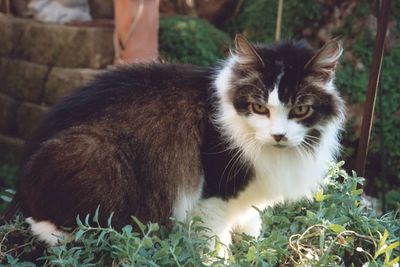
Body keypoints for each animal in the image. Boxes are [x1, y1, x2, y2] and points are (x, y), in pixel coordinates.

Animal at [13, 34, 344, 254]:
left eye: (300, 110)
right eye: (259, 107)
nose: (279, 135)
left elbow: (249, 218)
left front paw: (252, 240)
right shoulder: (214, 194)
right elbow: (214, 240)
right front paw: (221, 257)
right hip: (98, 156)